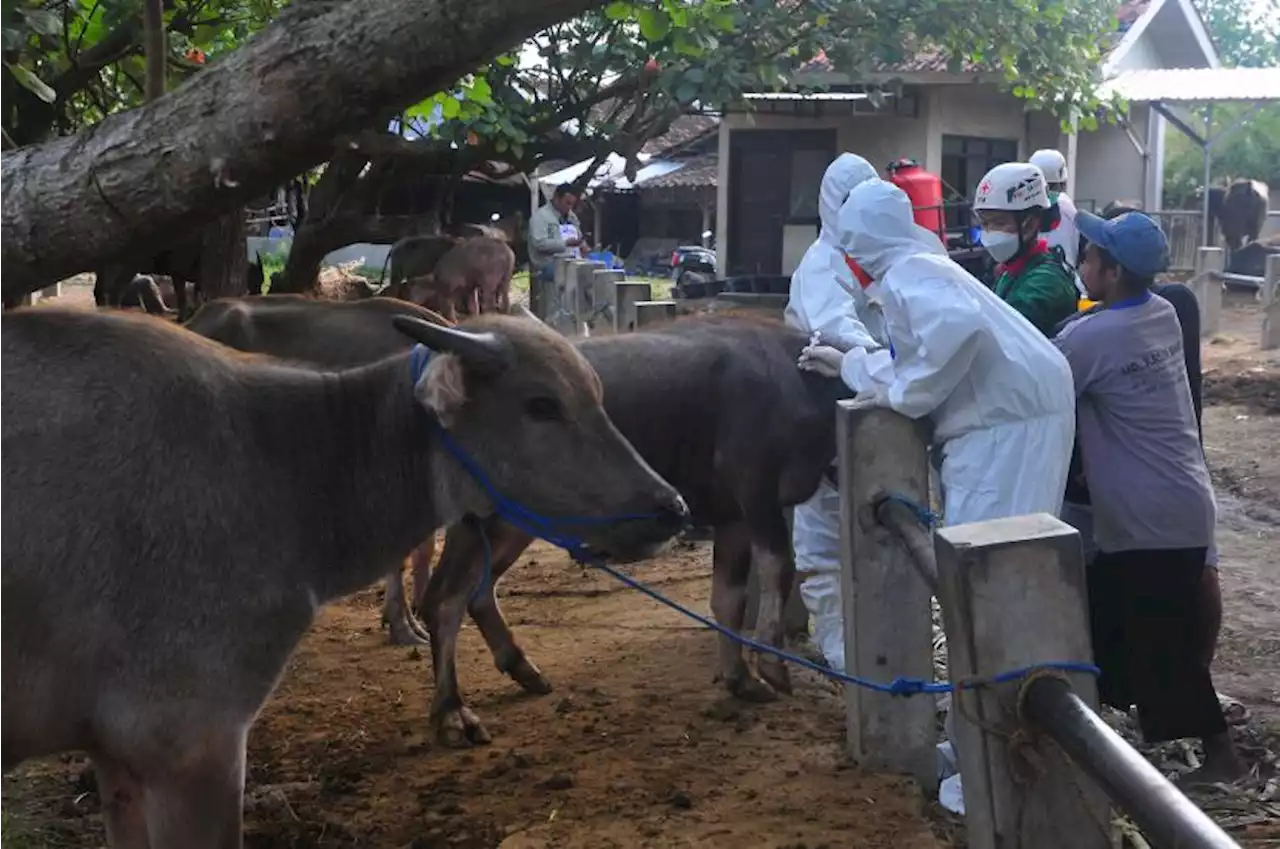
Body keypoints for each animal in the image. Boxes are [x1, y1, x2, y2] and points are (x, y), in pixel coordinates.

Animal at [0, 303, 686, 845]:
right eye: (542, 404)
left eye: (597, 395)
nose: (669, 507)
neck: (286, 469)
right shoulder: (191, 743)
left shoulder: (117, 760)